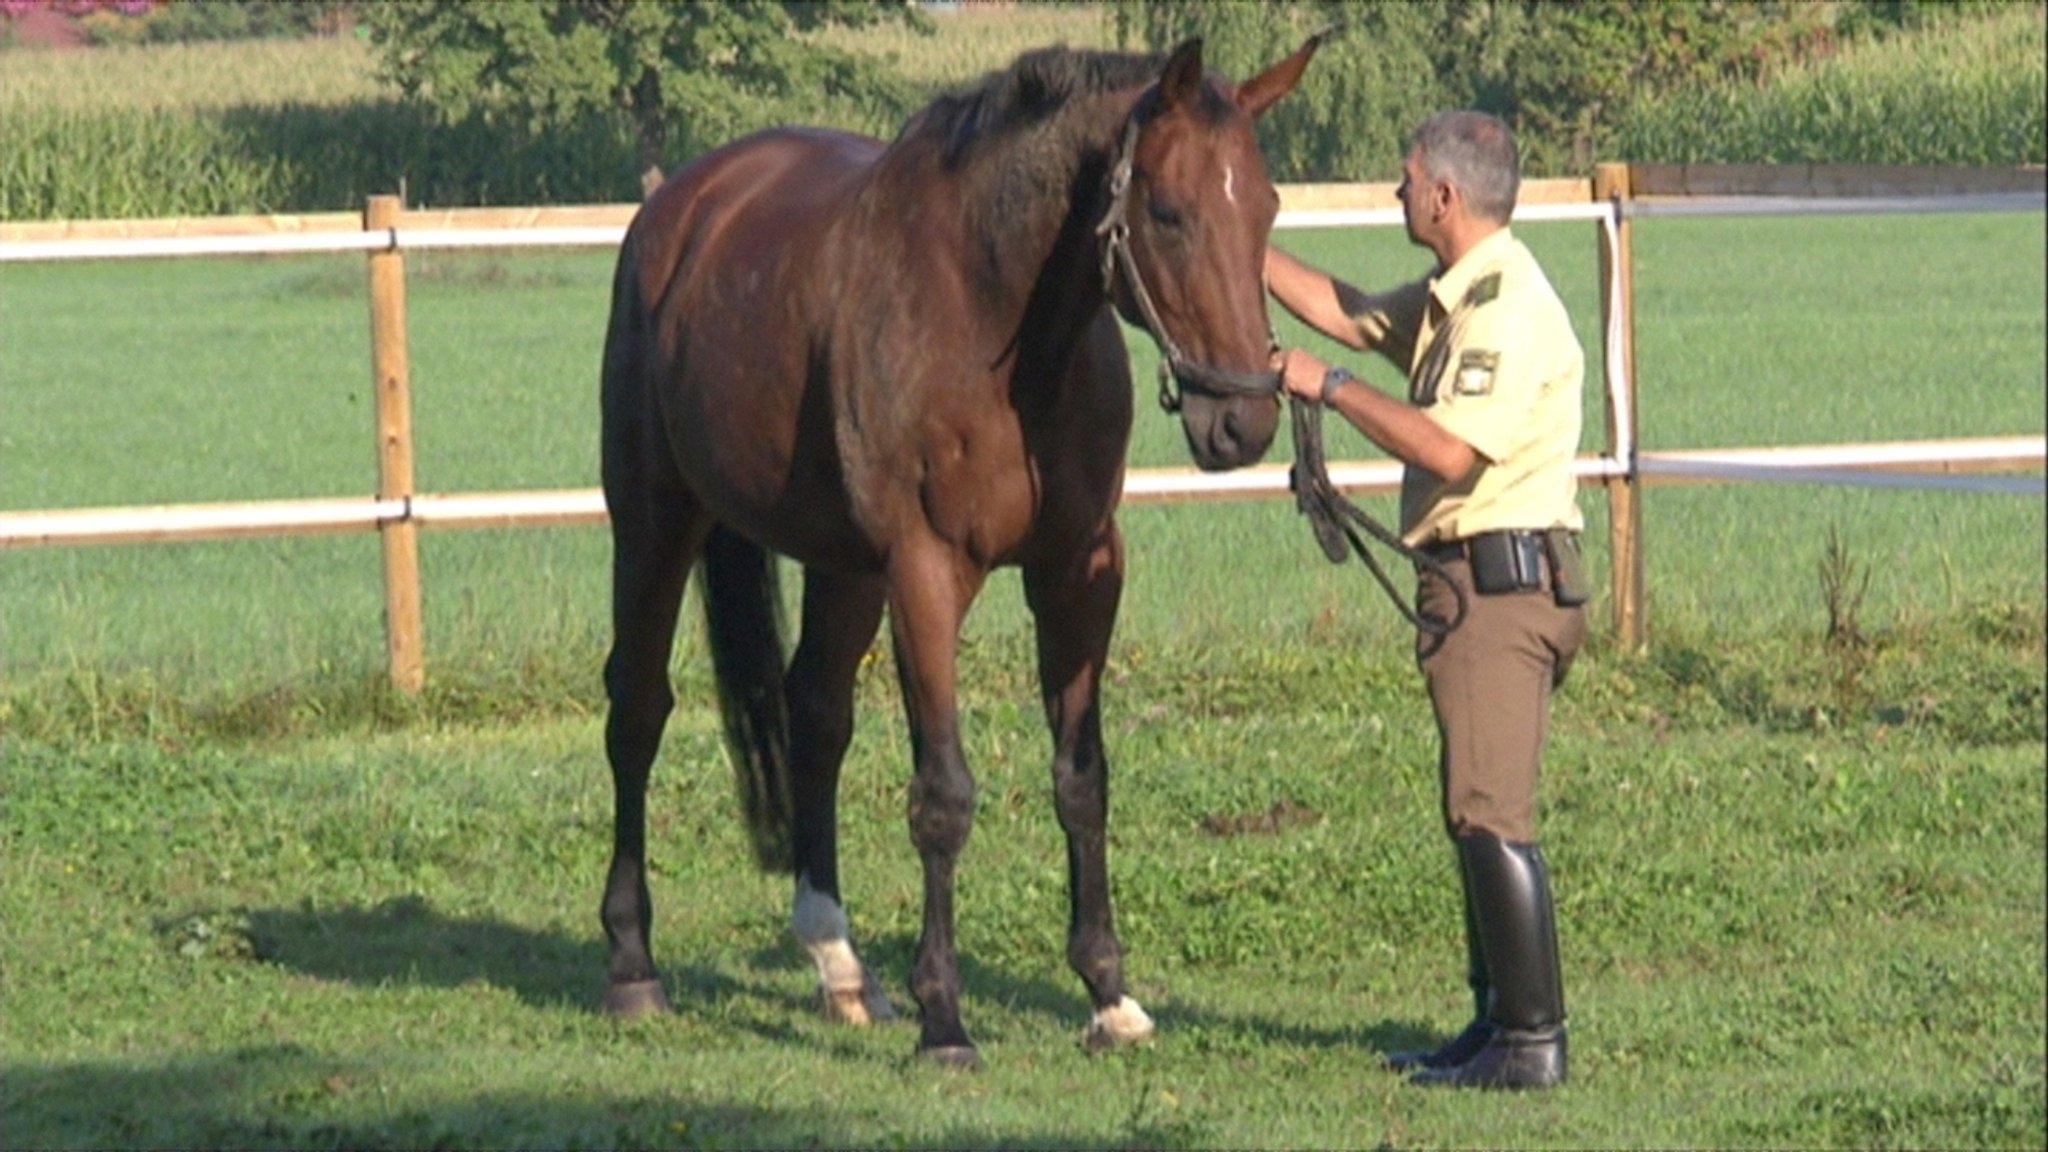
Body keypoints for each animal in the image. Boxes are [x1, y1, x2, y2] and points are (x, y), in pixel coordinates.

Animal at [598, 33, 1318, 1057]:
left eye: (1265, 210)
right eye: (1169, 213)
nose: (1244, 420)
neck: (993, 321)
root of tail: (679, 206)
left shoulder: (1079, 572)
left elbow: (1082, 779)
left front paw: (1108, 992)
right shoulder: (928, 575)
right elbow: (942, 796)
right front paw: (944, 1017)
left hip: (843, 566)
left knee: (816, 715)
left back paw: (840, 965)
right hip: (657, 519)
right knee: (638, 711)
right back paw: (633, 963)